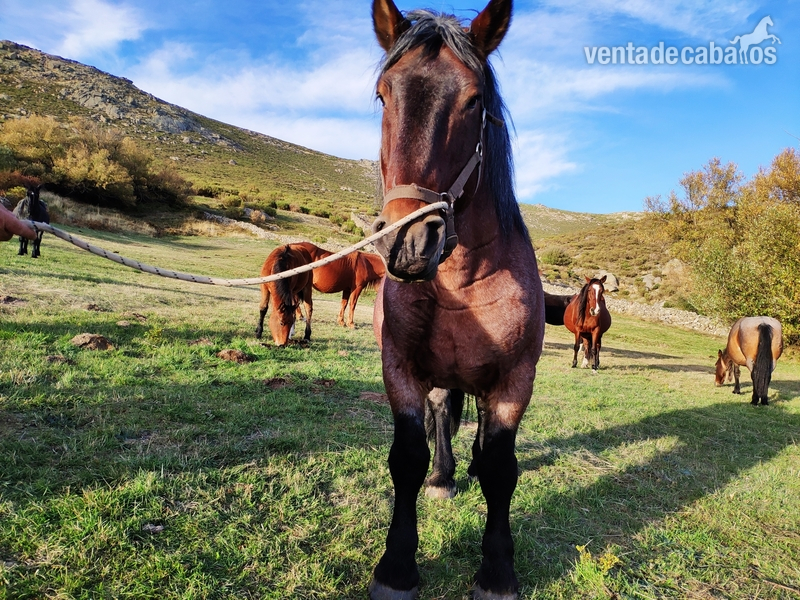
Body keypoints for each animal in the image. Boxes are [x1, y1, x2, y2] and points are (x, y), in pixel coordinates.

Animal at [368, 1, 544, 598]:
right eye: (384, 94)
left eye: (473, 101)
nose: (408, 241)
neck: (463, 282)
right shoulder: (399, 368)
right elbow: (408, 457)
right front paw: (396, 568)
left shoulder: (514, 382)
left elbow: (500, 467)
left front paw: (497, 572)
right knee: (444, 411)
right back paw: (445, 476)